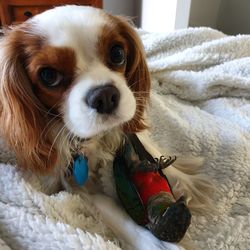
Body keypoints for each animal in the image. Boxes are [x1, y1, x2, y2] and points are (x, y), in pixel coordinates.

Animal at [0, 5, 213, 250]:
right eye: (48, 76)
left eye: (117, 53)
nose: (104, 96)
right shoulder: (69, 181)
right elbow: (105, 204)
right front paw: (153, 243)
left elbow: (150, 150)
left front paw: (186, 182)